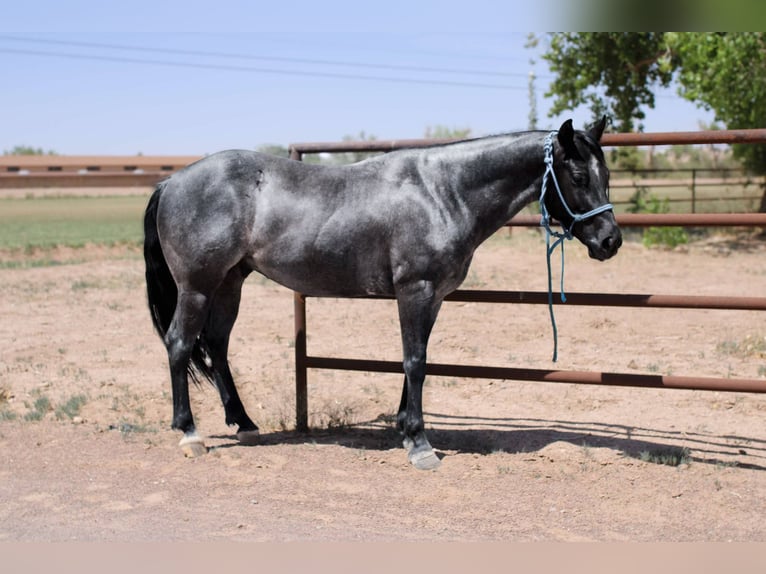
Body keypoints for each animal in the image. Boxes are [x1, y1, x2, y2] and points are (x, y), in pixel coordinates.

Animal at [143, 116, 621, 470]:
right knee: (180, 344)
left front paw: (406, 429)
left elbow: (416, 360)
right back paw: (190, 435)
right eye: (579, 175)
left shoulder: (433, 298)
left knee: (217, 346)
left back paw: (244, 423)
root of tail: (172, 182)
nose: (610, 241)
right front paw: (421, 446)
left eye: (607, 175)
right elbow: (415, 362)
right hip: (197, 287)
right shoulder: (415, 291)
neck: (442, 192)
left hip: (229, 283)